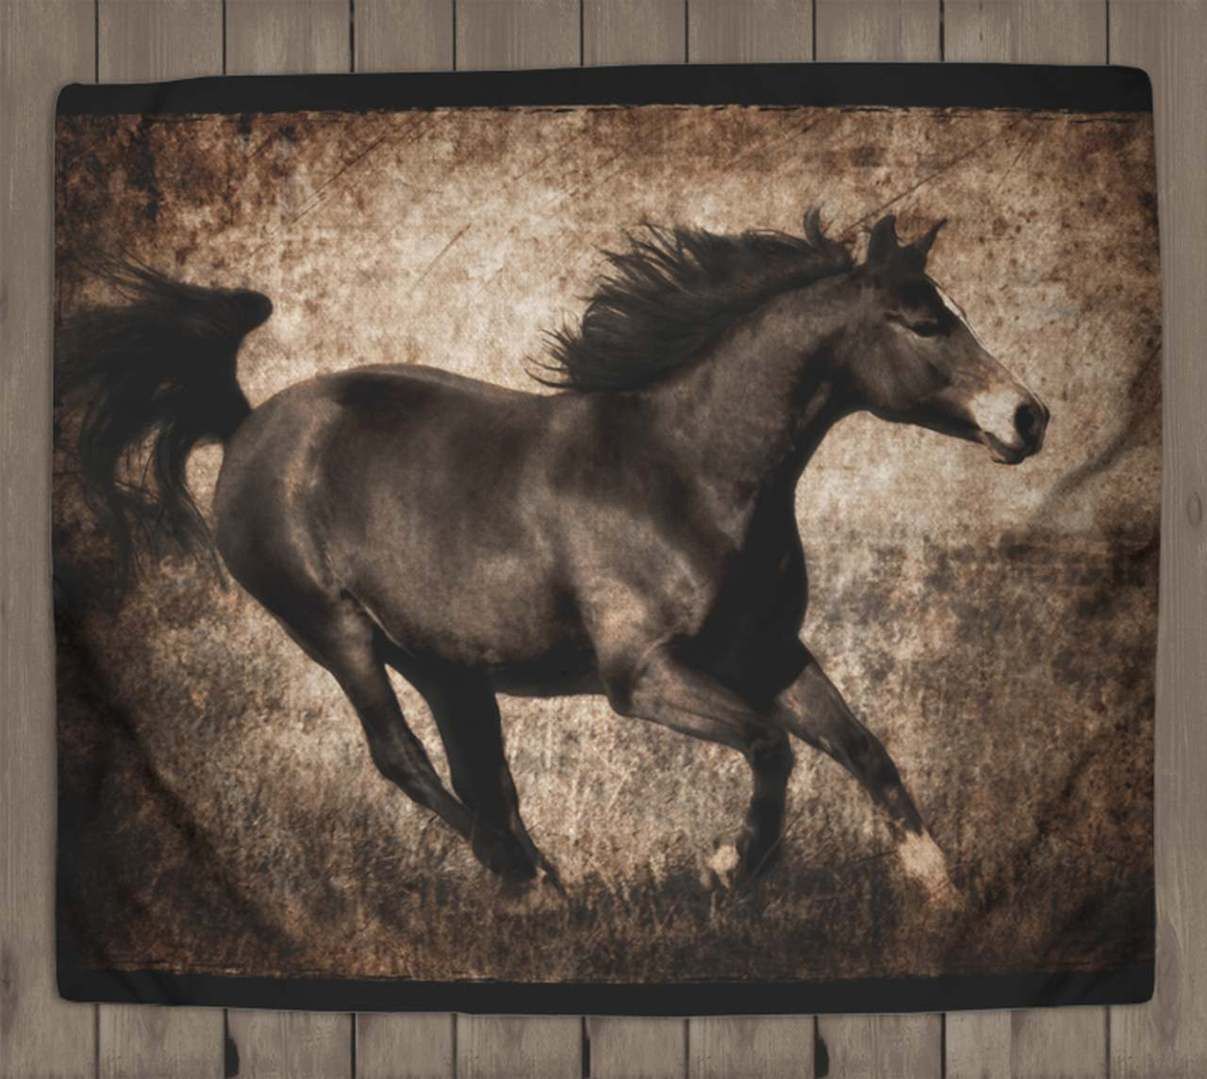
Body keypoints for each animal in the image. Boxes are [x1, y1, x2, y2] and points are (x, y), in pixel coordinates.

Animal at [57, 209, 1048, 902]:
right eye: (921, 323)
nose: (1028, 416)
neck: (686, 469)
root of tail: (248, 425)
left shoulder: (767, 653)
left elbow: (862, 749)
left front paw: (938, 892)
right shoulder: (643, 675)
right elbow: (772, 747)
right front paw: (729, 866)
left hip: (444, 663)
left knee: (479, 771)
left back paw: (546, 886)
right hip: (335, 630)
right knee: (401, 757)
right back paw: (526, 882)